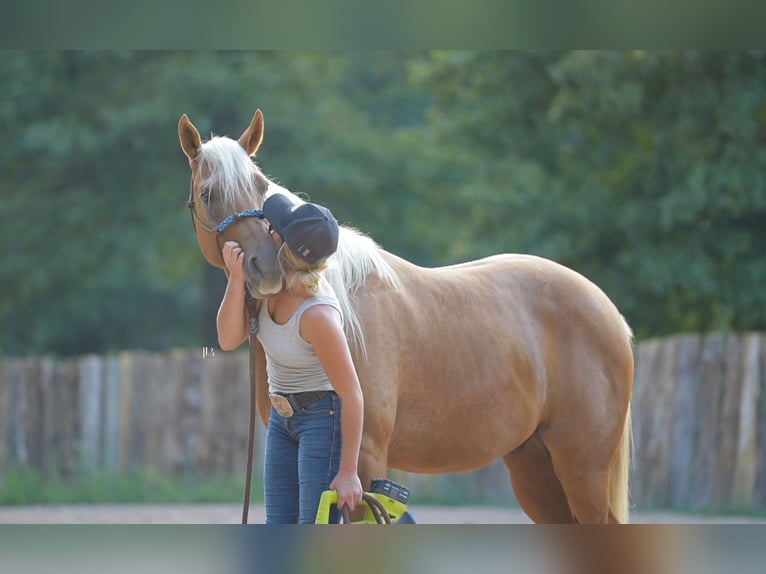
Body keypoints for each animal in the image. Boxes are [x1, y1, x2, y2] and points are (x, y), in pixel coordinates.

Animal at [178, 109, 634, 524]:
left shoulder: (363, 464)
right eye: (208, 194)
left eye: (259, 186)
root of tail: (609, 311)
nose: (266, 268)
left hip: (582, 469)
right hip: (536, 469)